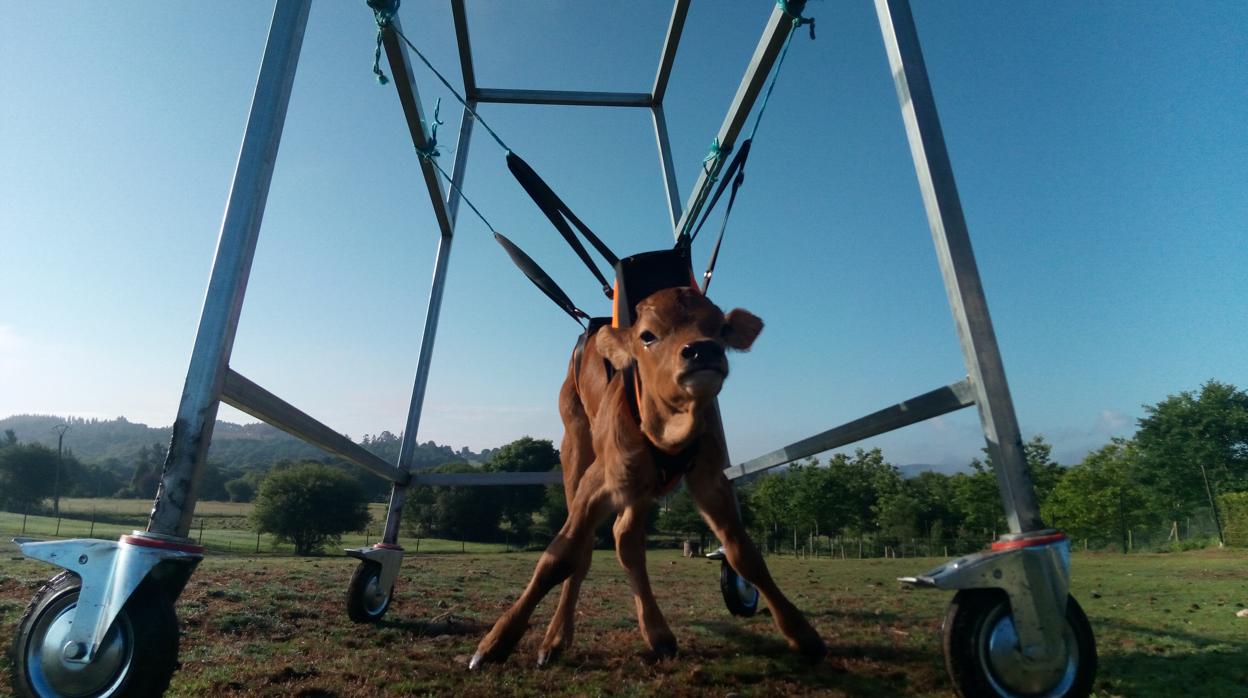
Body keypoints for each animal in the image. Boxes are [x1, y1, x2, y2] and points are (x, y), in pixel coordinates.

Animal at [469, 287, 828, 669]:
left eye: (721, 329)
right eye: (648, 336)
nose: (703, 349)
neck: (669, 429)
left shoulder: (709, 478)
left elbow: (744, 552)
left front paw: (802, 634)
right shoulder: (599, 480)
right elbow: (559, 557)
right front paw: (495, 642)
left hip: (640, 485)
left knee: (625, 539)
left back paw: (658, 634)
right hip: (575, 447)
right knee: (585, 546)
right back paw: (556, 638)